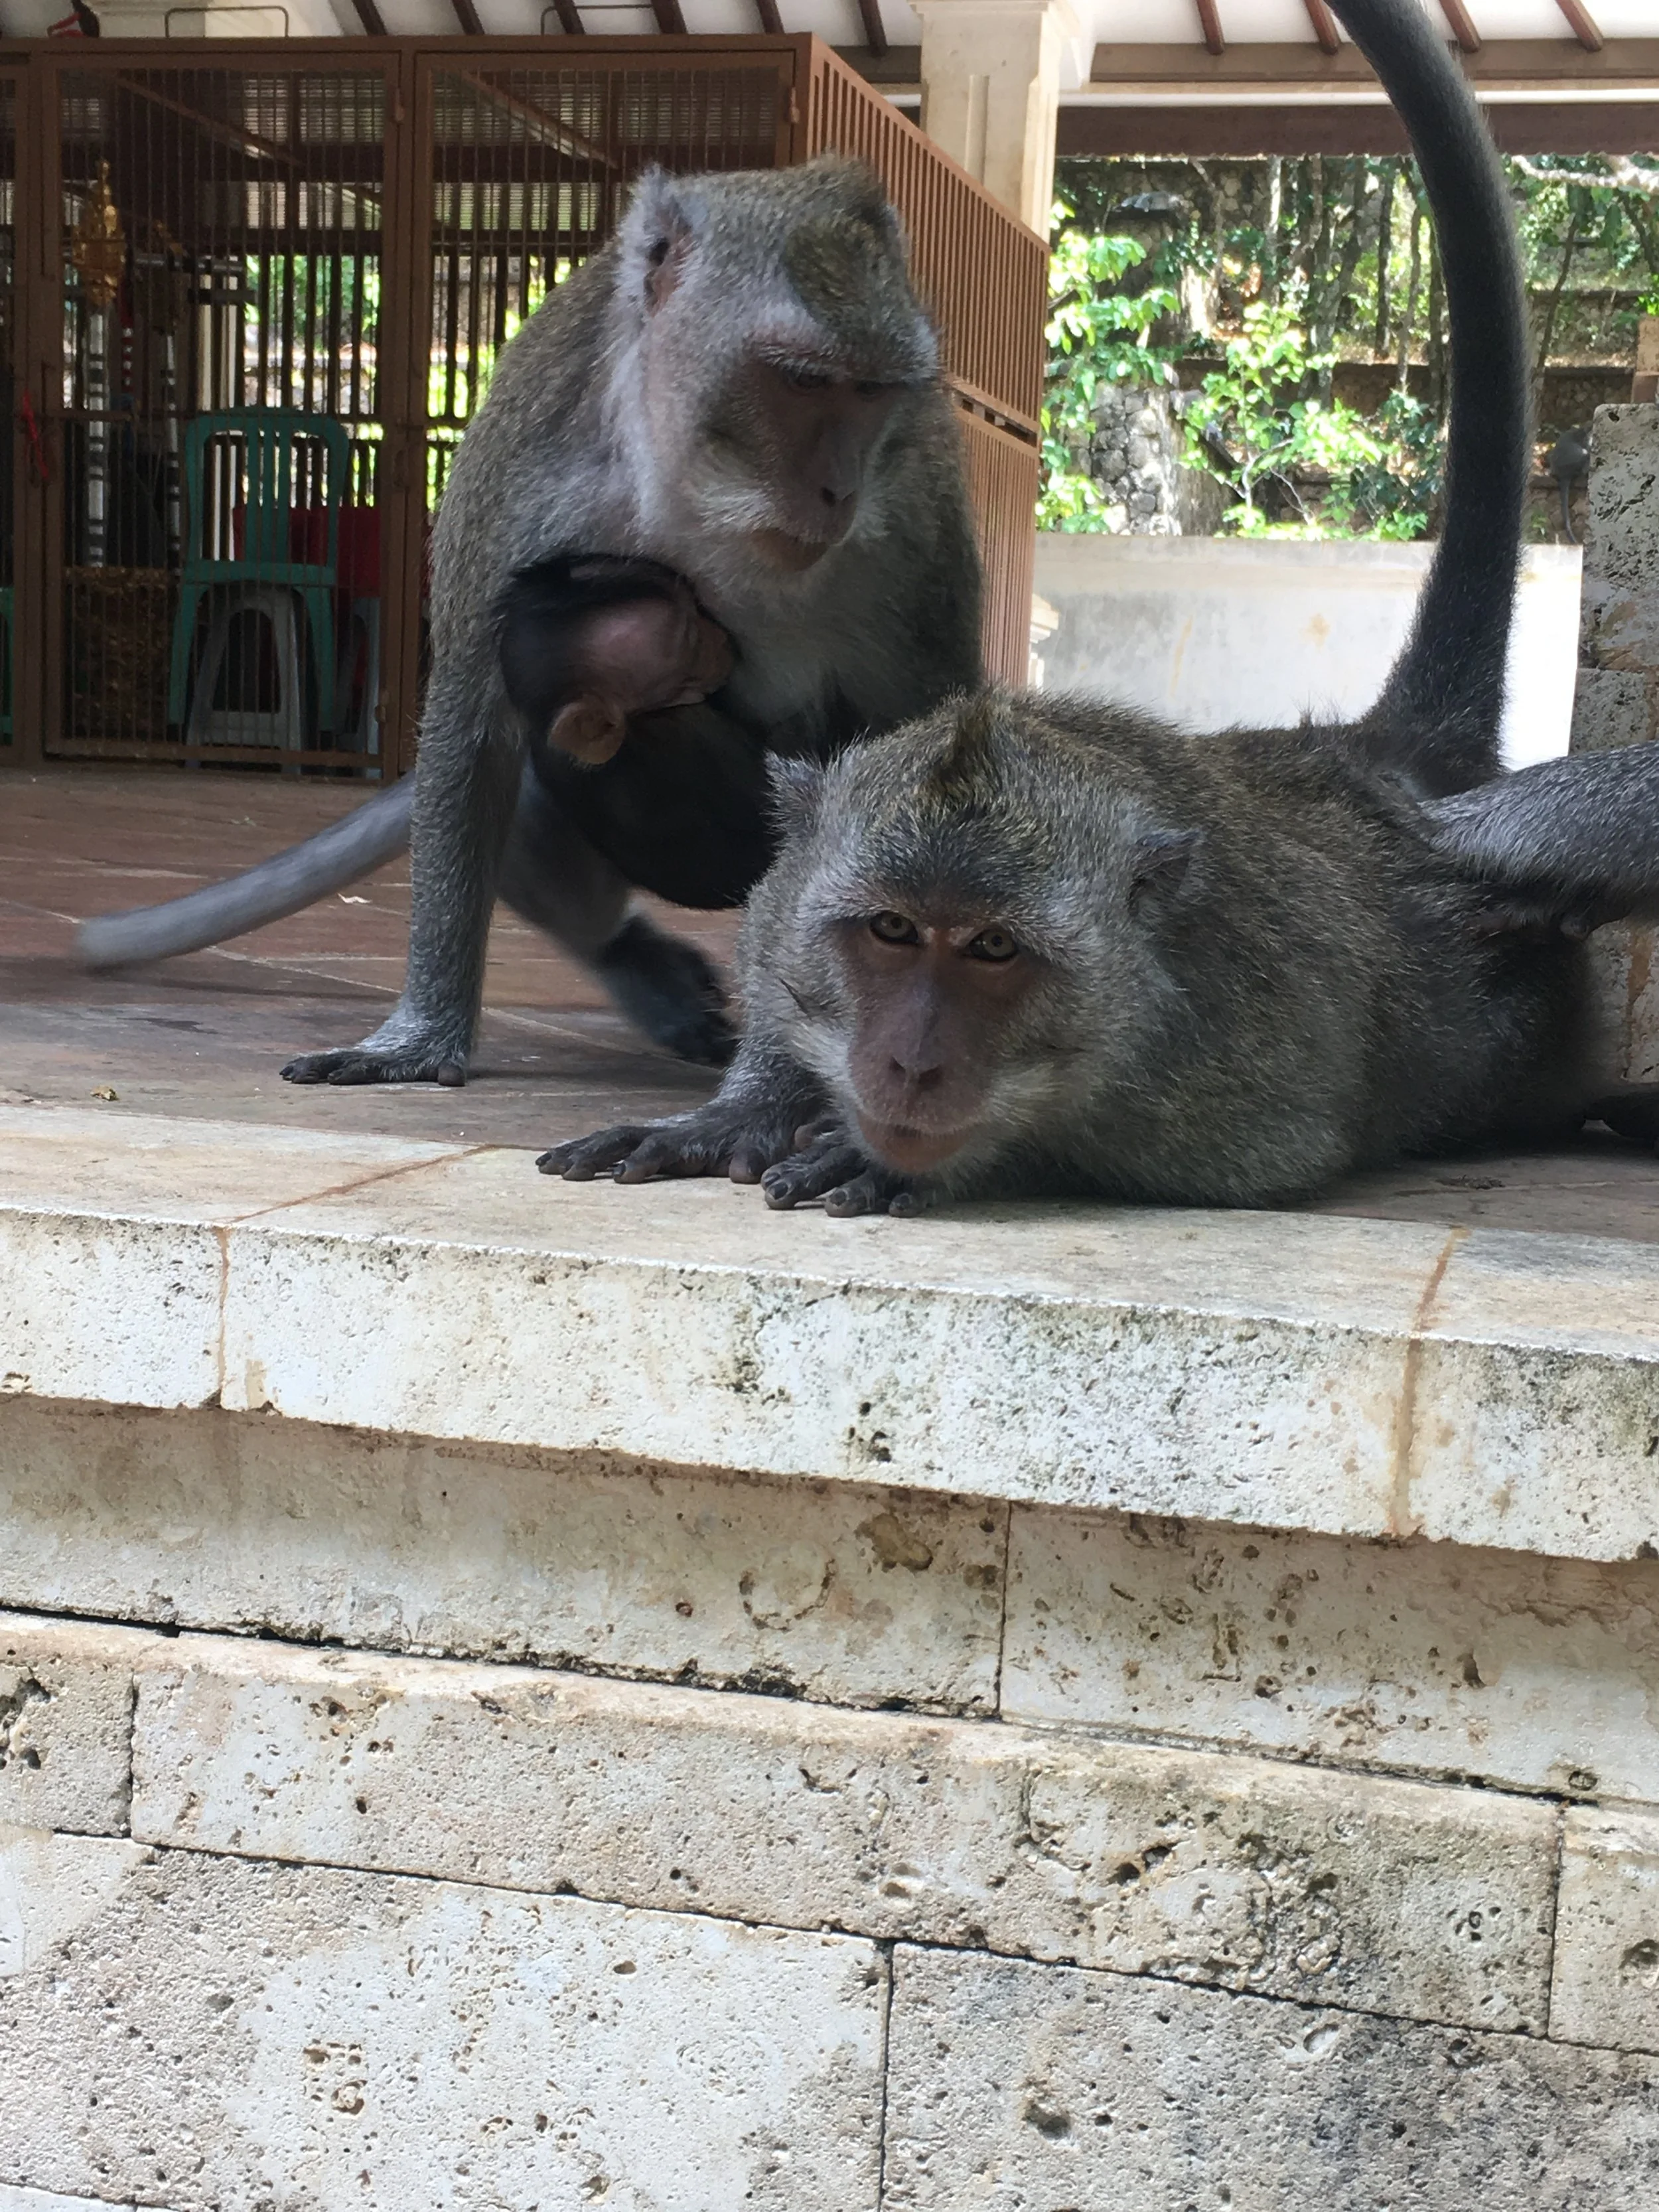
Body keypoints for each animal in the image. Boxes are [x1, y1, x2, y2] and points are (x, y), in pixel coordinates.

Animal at [75, 157, 983, 1084]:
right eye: (801, 381)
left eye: (870, 393)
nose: (838, 489)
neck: (688, 485)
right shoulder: (524, 472)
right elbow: (477, 725)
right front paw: (420, 1035)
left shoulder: (918, 527)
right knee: (527, 772)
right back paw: (630, 961)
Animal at [537, 0, 1659, 1210]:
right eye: (891, 930)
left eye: (991, 950)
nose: (911, 1063)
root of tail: (1386, 755)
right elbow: (772, 934)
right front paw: (742, 1109)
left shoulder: (1237, 1068)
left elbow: (1273, 1150)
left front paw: (890, 1150)